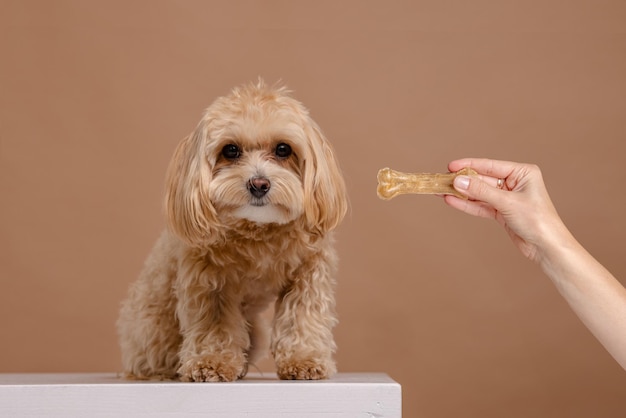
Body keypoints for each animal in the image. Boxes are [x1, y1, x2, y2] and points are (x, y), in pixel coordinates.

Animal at [116, 79, 346, 382]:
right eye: (231, 150)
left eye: (283, 149)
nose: (259, 184)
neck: (258, 229)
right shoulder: (209, 282)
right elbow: (215, 325)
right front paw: (211, 362)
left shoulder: (308, 273)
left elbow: (302, 316)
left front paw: (304, 359)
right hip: (154, 332)